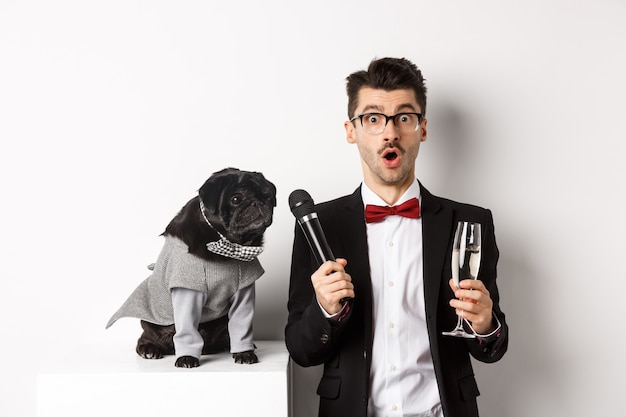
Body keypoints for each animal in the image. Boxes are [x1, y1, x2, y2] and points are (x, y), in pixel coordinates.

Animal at [107, 167, 276, 366]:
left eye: (268, 197)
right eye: (236, 199)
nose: (258, 203)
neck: (228, 244)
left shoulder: (244, 293)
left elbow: (242, 327)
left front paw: (244, 353)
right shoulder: (187, 291)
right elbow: (187, 331)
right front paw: (186, 357)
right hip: (153, 325)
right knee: (146, 338)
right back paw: (150, 349)